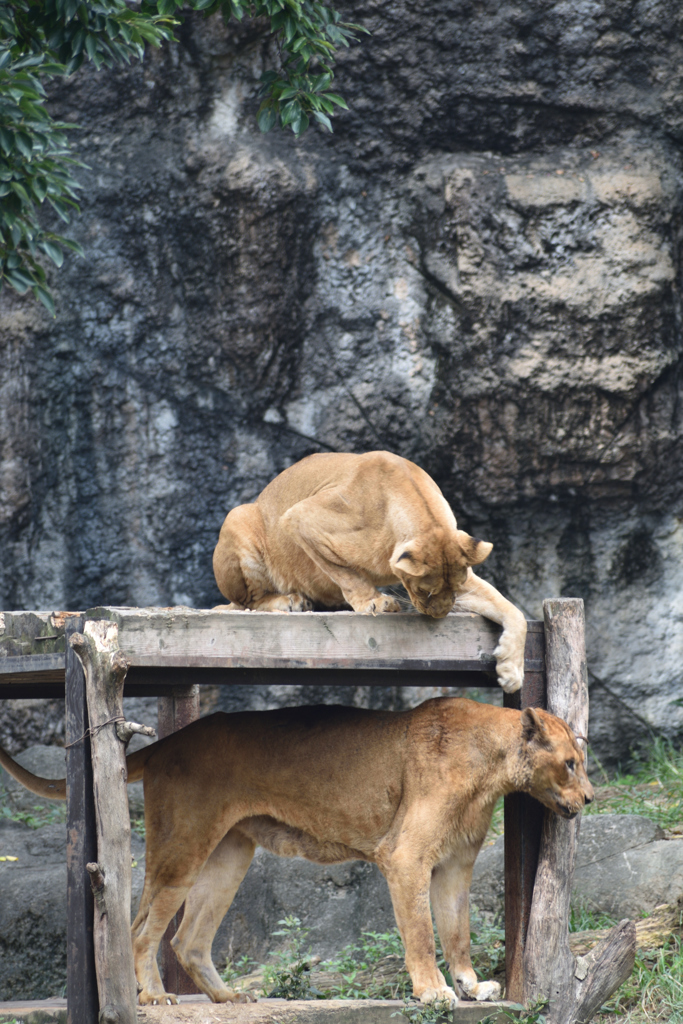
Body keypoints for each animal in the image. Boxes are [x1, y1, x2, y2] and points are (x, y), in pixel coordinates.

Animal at [0, 696, 593, 1007]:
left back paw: (229, 1000)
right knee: (142, 929)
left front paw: (471, 984)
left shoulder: (454, 865)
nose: (589, 797)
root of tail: (169, 740)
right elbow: (423, 936)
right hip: (183, 846)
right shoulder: (404, 856)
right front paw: (434, 992)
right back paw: (152, 999)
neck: (491, 766)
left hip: (229, 853)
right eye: (570, 763)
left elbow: (457, 930)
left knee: (188, 939)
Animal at [214, 452, 528, 692]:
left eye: (455, 589)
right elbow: (346, 573)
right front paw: (374, 602)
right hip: (238, 516)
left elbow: (512, 610)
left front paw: (511, 671)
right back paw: (290, 600)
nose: (439, 615)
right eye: (424, 590)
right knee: (248, 601)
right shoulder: (301, 518)